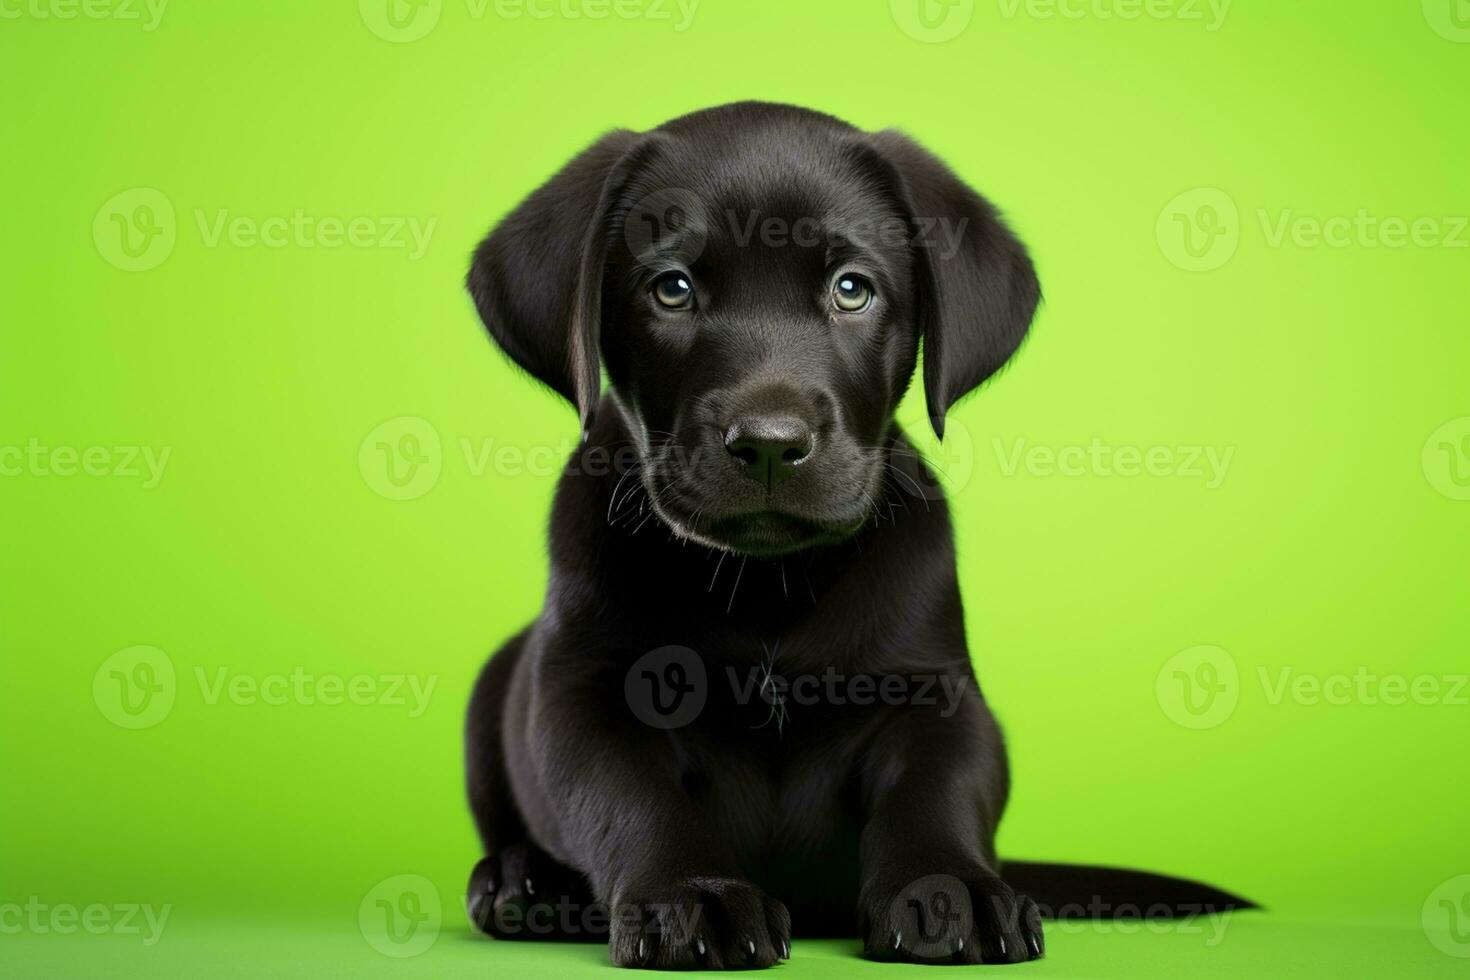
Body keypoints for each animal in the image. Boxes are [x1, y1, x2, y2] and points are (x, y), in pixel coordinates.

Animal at [464, 103, 1246, 969]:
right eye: (671, 289)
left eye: (852, 290)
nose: (770, 444)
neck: (766, 586)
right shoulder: (589, 692)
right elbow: (630, 797)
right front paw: (691, 894)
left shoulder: (933, 691)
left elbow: (936, 792)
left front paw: (948, 890)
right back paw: (525, 883)